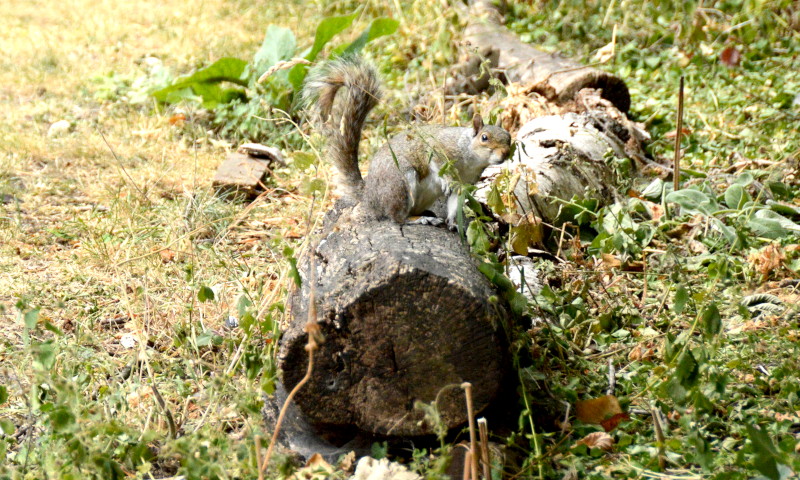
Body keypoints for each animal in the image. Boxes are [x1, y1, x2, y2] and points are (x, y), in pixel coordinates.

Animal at [303, 56, 512, 226]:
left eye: (509, 138)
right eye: (484, 138)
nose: (504, 154)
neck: (470, 155)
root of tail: (370, 197)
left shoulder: (465, 182)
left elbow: (455, 200)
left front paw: (453, 222)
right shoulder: (440, 147)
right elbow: (436, 161)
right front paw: (445, 180)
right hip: (401, 181)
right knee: (397, 217)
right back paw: (419, 219)